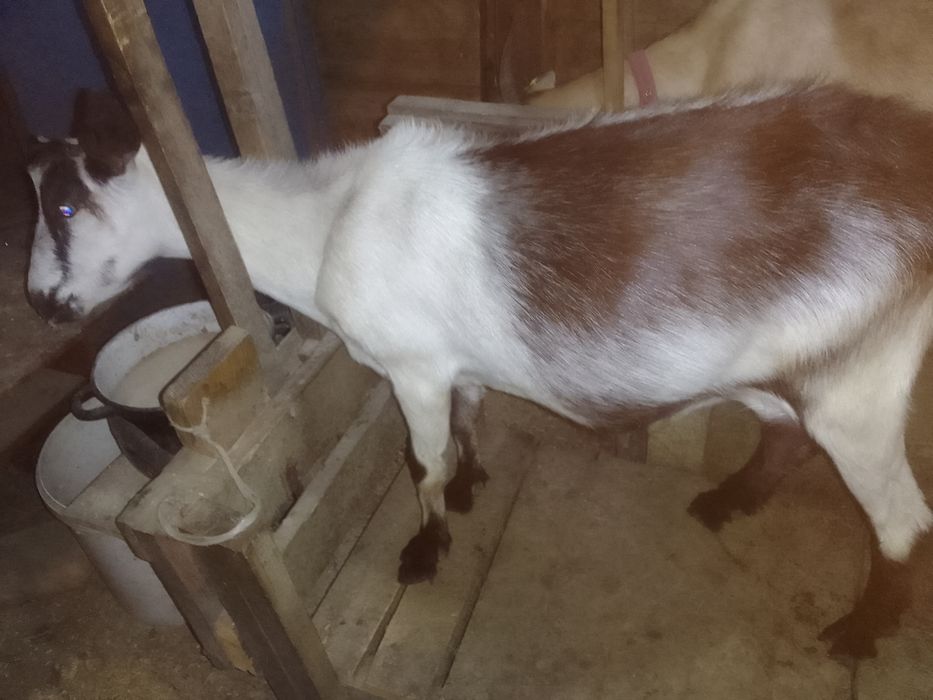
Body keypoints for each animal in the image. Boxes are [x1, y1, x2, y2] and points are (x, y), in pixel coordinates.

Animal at [26, 87, 933, 659]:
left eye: (63, 205)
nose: (39, 303)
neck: (326, 223)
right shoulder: (450, 364)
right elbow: (466, 419)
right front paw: (470, 486)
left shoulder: (412, 367)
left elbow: (420, 459)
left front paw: (426, 548)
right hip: (787, 362)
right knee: (785, 436)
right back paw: (725, 502)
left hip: (862, 379)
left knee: (900, 515)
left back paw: (859, 631)